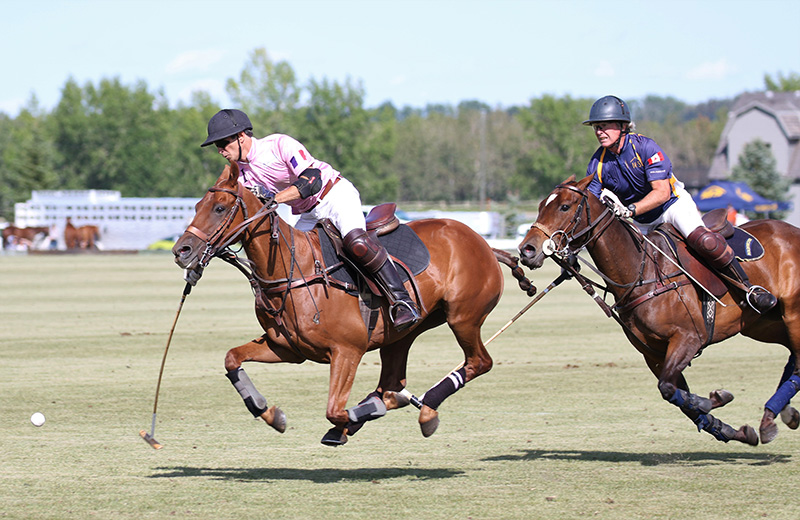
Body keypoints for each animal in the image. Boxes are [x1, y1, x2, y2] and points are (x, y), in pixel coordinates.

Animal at [174, 164, 510, 446]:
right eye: (196, 206)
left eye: (219, 208)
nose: (182, 251)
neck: (294, 271)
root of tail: (485, 243)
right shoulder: (287, 349)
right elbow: (232, 358)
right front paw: (271, 414)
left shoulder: (348, 350)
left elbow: (334, 409)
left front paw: (357, 416)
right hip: (403, 334)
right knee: (393, 380)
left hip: (463, 317)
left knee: (478, 362)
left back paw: (423, 409)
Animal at [520, 176, 800, 446]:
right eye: (541, 205)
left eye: (565, 206)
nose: (527, 250)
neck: (641, 273)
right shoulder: (654, 353)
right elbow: (675, 395)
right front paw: (733, 430)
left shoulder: (689, 338)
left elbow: (668, 388)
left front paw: (712, 399)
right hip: (763, 325)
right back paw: (775, 418)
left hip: (792, 313)